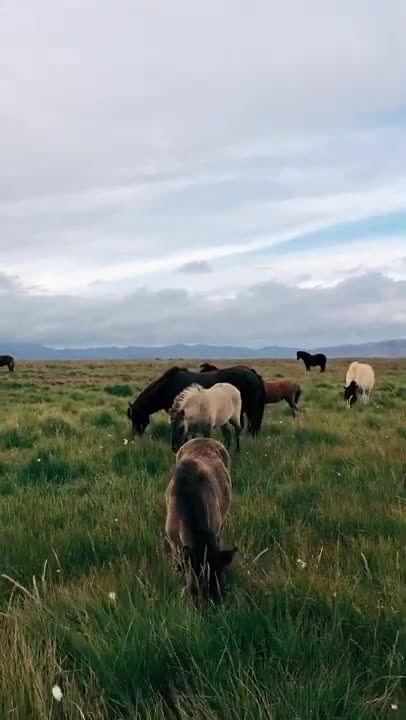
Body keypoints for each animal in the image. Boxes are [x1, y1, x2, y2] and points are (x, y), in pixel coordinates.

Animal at [127, 365, 265, 437]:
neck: (167, 387)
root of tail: (253, 374)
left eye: (135, 417)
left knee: (253, 423)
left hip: (251, 408)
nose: (134, 434)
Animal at [165, 437, 237, 602]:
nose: (214, 602)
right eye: (195, 587)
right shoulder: (173, 542)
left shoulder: (216, 527)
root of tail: (204, 438)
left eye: (221, 582)